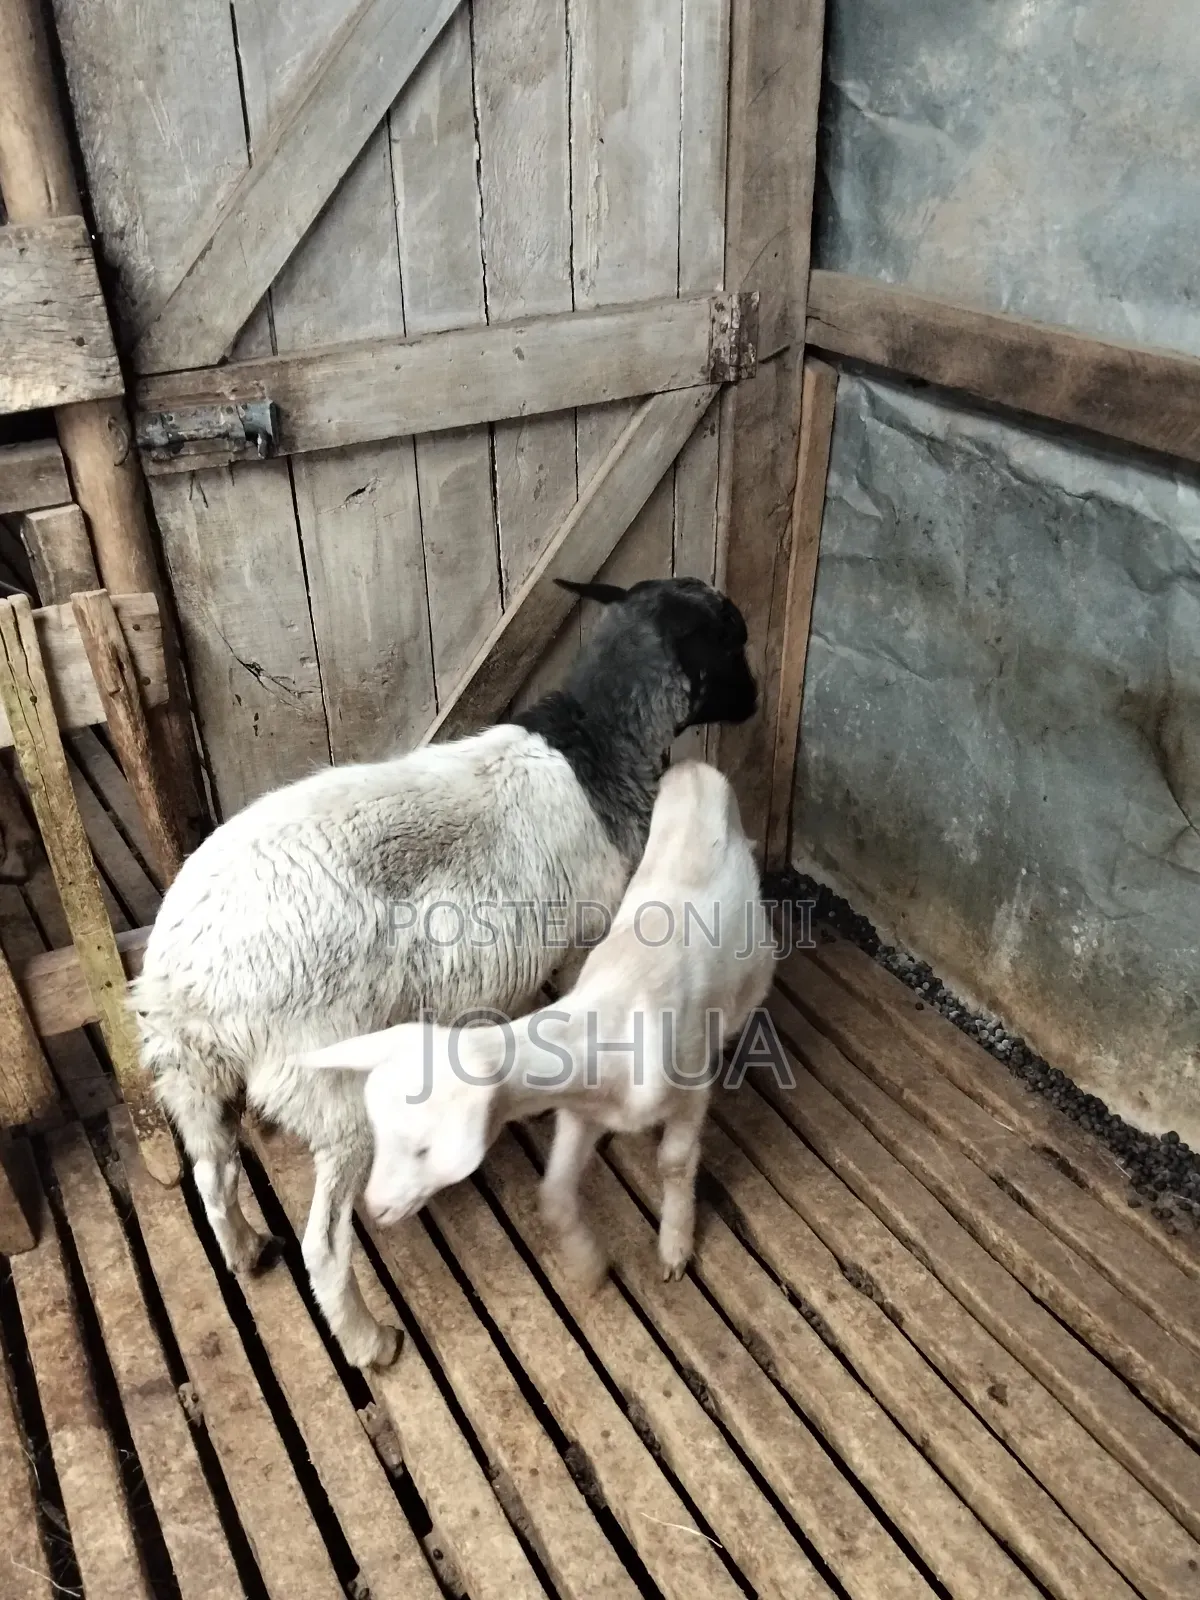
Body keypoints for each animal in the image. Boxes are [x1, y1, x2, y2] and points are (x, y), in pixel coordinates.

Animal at [294, 758, 777, 1287]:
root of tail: (695, 771)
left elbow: (673, 1162)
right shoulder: (579, 1109)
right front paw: (589, 1267)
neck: (609, 1023)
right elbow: (555, 1194)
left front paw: (674, 1248)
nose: (376, 1208)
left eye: (424, 1149)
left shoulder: (690, 1089)